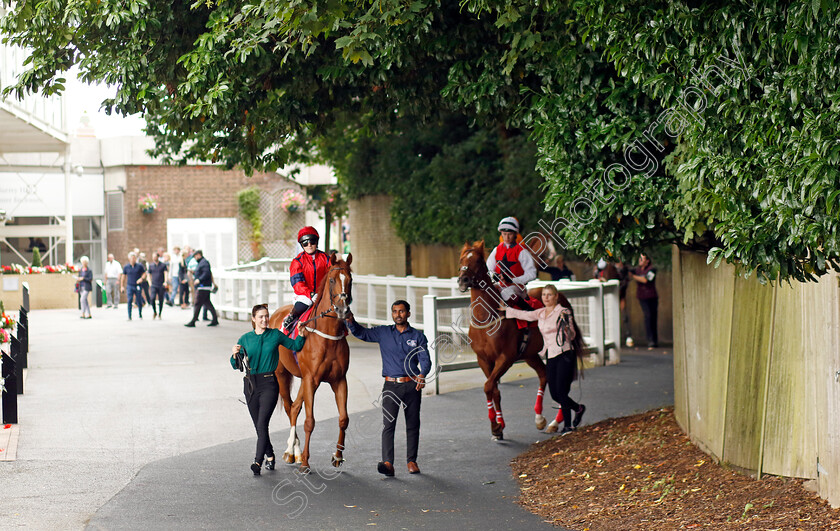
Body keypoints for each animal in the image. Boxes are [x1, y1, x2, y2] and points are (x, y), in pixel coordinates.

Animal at [270, 254, 352, 474]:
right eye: (331, 280)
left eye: (350, 280)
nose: (342, 309)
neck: (328, 334)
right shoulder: (311, 379)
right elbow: (309, 421)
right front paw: (306, 462)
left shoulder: (339, 380)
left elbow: (343, 419)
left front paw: (338, 456)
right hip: (283, 375)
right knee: (290, 407)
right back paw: (292, 451)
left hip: (304, 380)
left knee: (295, 407)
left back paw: (294, 452)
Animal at [460, 242, 552, 440]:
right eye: (461, 259)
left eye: (478, 261)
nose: (462, 280)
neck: (486, 319)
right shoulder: (484, 359)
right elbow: (494, 389)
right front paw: (498, 427)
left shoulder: (505, 358)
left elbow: (488, 386)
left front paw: (496, 425)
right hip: (531, 354)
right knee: (543, 374)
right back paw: (540, 418)